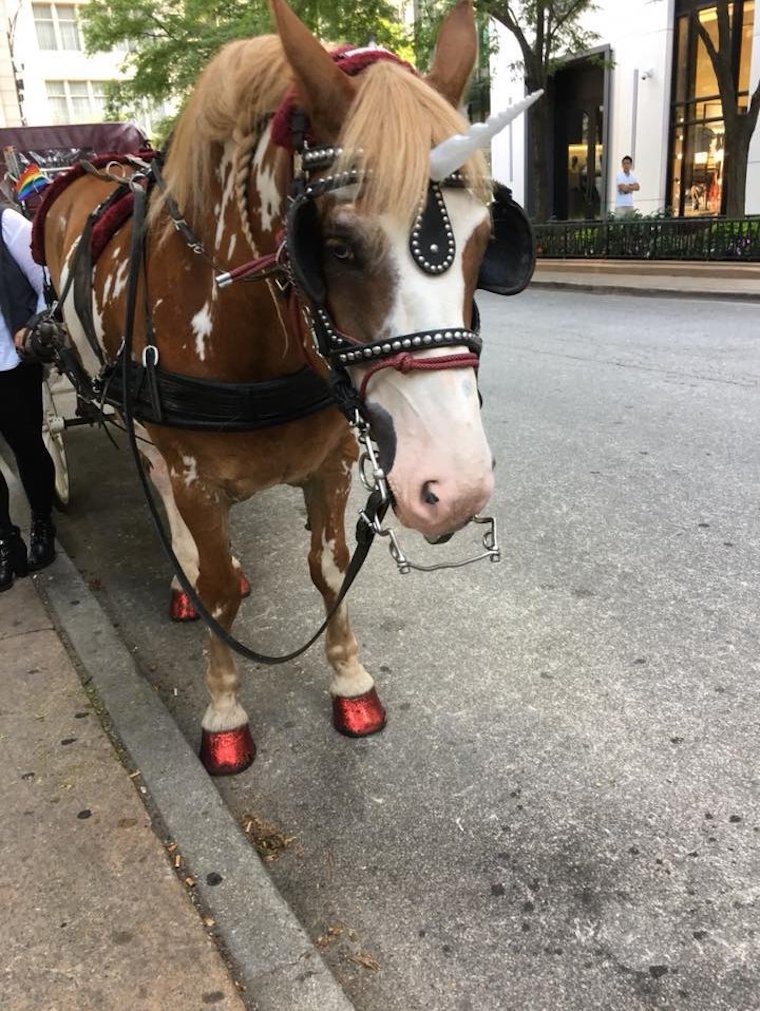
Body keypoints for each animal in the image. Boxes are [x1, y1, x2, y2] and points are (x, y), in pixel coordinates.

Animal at [34, 0, 535, 775]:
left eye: (487, 241)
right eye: (335, 246)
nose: (456, 488)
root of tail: (89, 171)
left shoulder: (332, 464)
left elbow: (329, 568)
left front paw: (351, 681)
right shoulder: (196, 475)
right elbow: (217, 588)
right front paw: (224, 711)